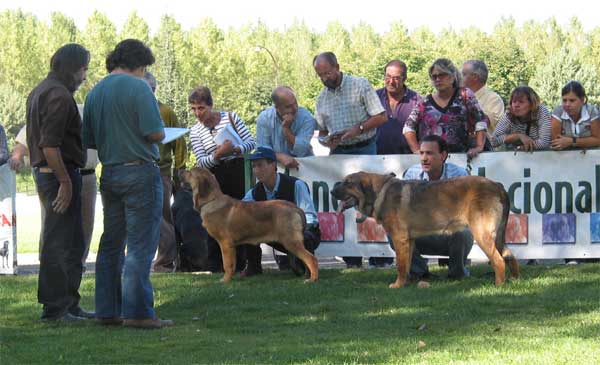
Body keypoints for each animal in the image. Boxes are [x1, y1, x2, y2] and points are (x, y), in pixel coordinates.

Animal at [183, 166, 318, 282]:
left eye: (190, 172)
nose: (180, 171)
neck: (212, 200)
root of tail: (295, 207)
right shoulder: (231, 246)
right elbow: (232, 264)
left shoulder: (225, 243)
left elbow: (227, 264)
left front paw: (225, 281)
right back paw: (307, 276)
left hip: (291, 242)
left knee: (311, 258)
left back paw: (312, 279)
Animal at [330, 172, 516, 288]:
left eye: (348, 183)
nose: (331, 191)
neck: (379, 193)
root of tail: (497, 185)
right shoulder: (409, 241)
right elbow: (406, 265)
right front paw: (405, 283)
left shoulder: (399, 238)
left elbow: (400, 266)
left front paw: (397, 285)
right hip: (496, 237)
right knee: (509, 256)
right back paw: (515, 280)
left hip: (482, 234)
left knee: (499, 261)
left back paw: (498, 285)